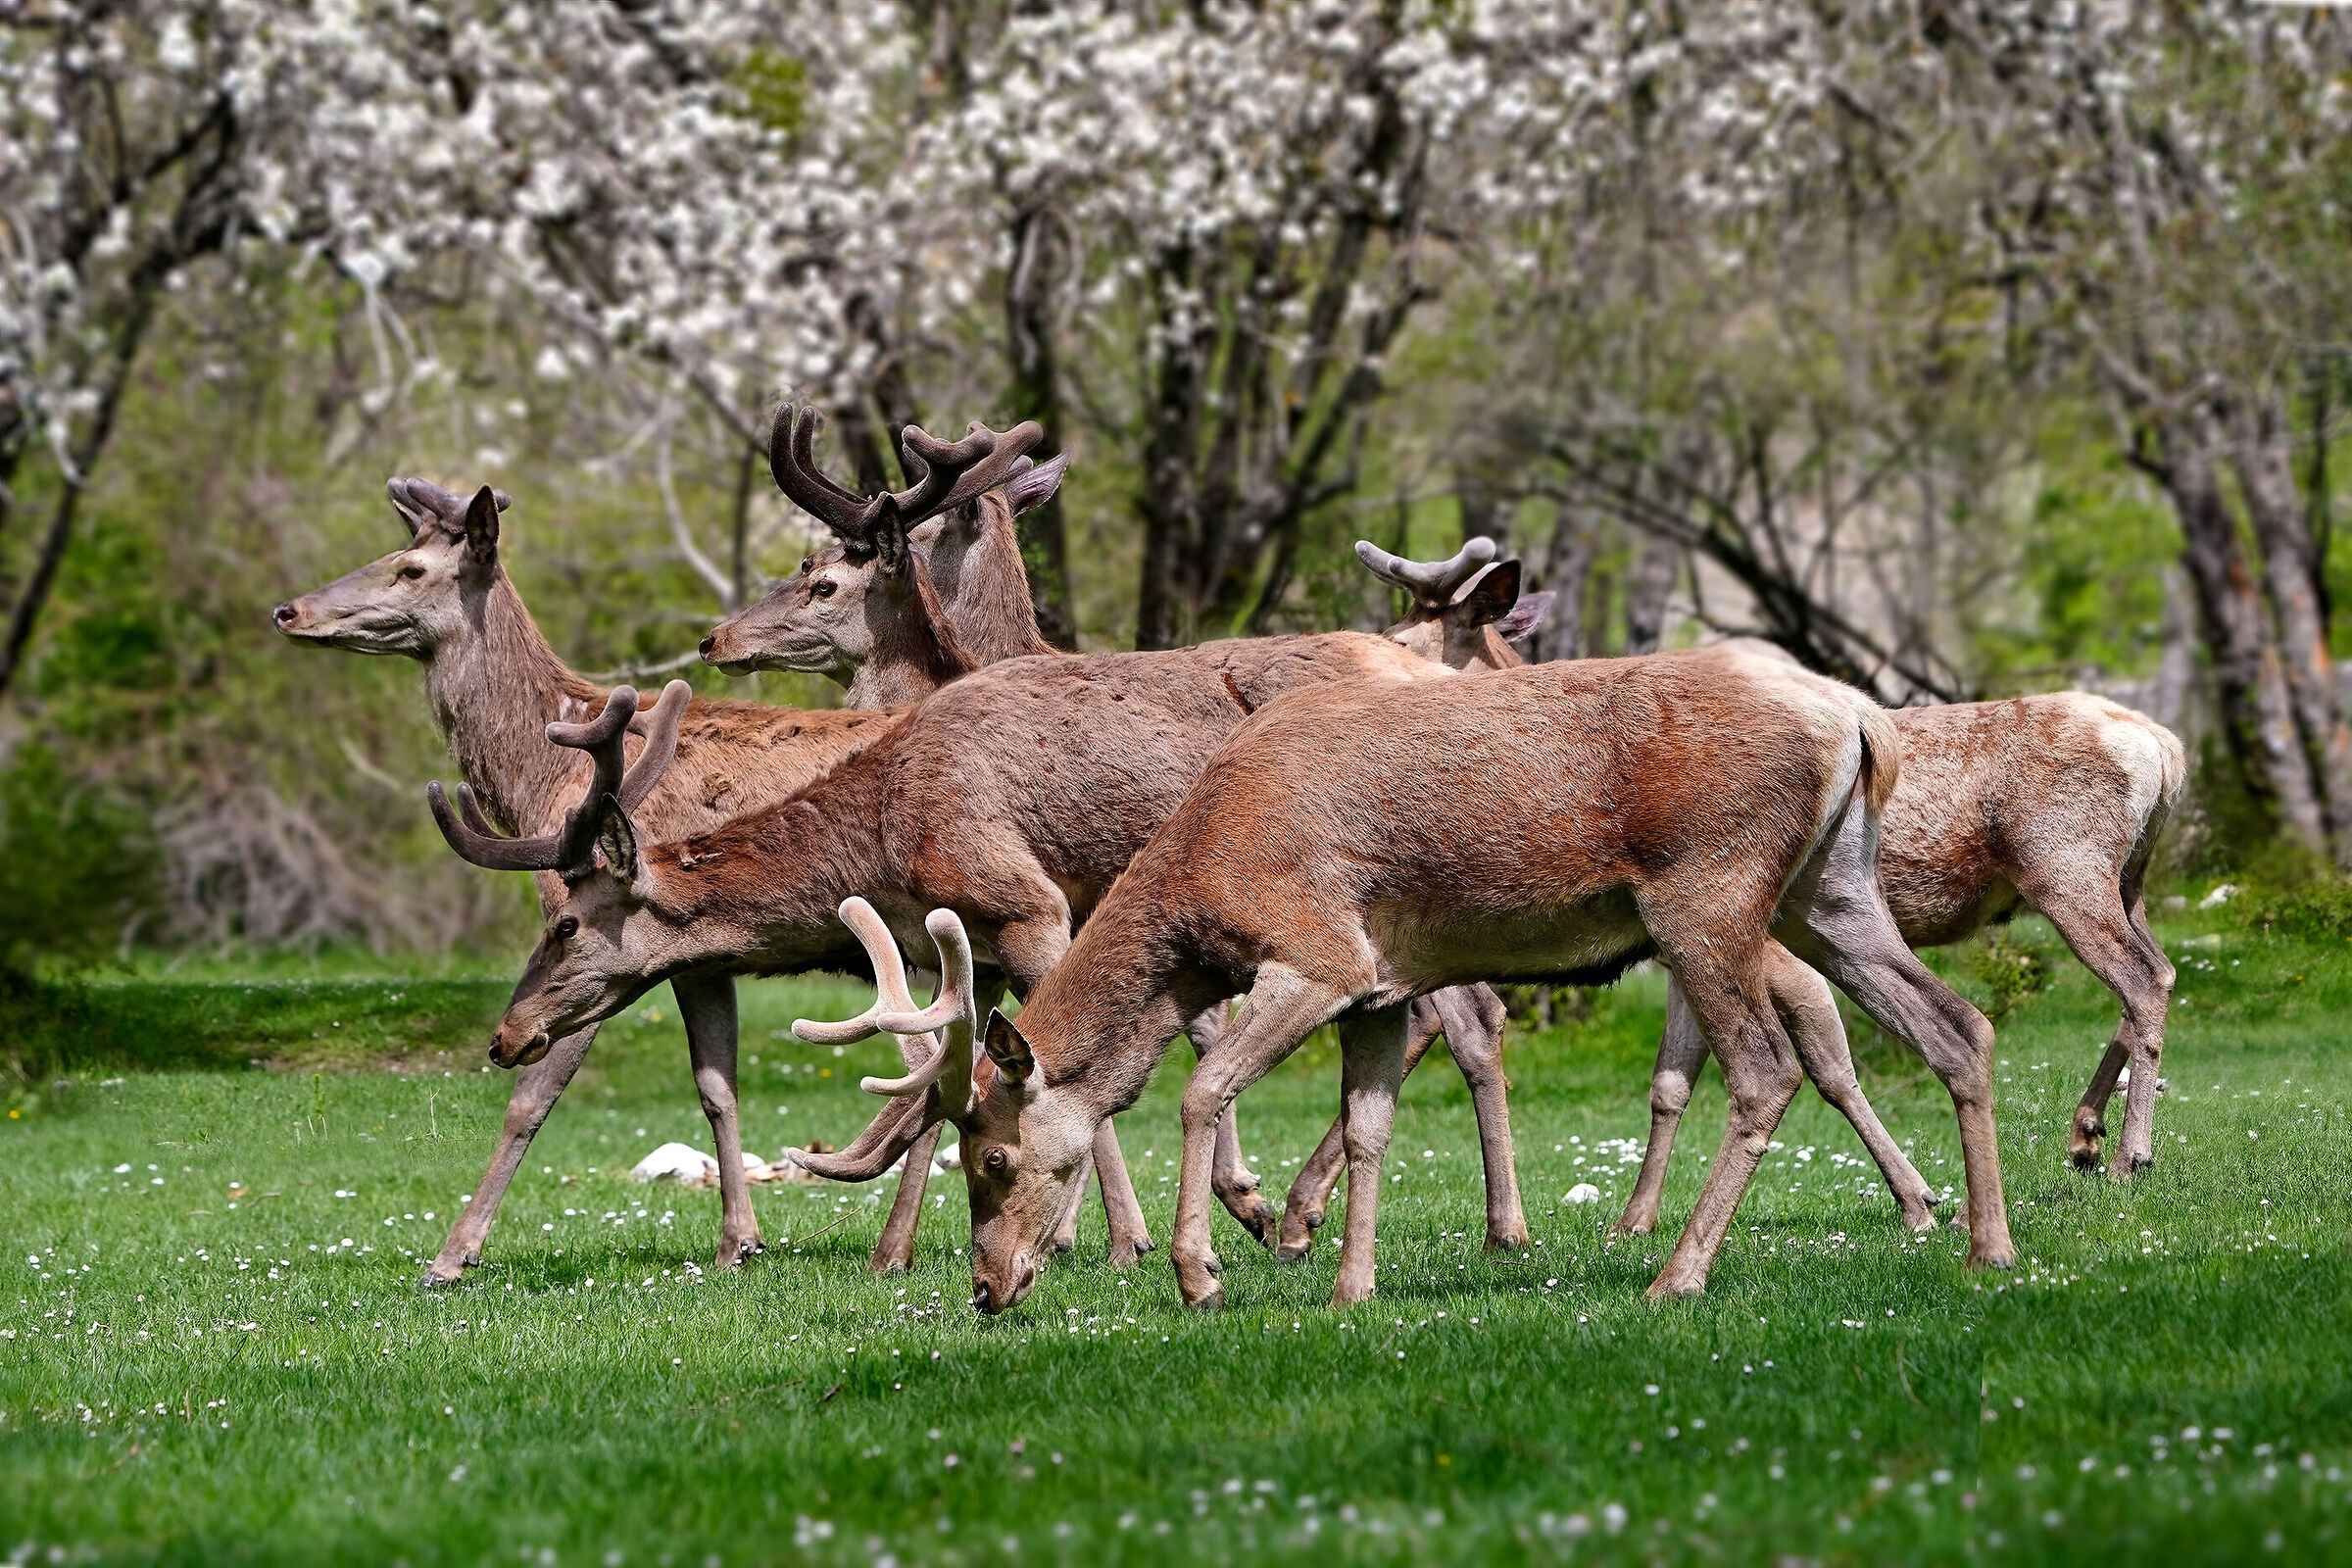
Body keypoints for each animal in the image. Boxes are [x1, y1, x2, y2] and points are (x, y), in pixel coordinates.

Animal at [269, 441, 1025, 1283]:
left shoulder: (604, 929)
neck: (538, 772)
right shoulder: (700, 958)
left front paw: (452, 1255)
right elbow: (717, 1087)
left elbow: (530, 1099)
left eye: (410, 569)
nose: (289, 611)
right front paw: (740, 1242)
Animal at [791, 642, 2018, 1313]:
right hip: (1832, 889)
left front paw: (1204, 1270)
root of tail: (1858, 715)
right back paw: (1987, 1243)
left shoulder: (1315, 950)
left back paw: (1677, 1273)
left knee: (1766, 1068)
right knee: (1956, 1022)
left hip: (1709, 888)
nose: (987, 1289)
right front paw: (1350, 1283)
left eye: (993, 1156)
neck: (1199, 877)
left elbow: (1202, 1087)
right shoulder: (1379, 989)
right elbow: (1372, 1123)